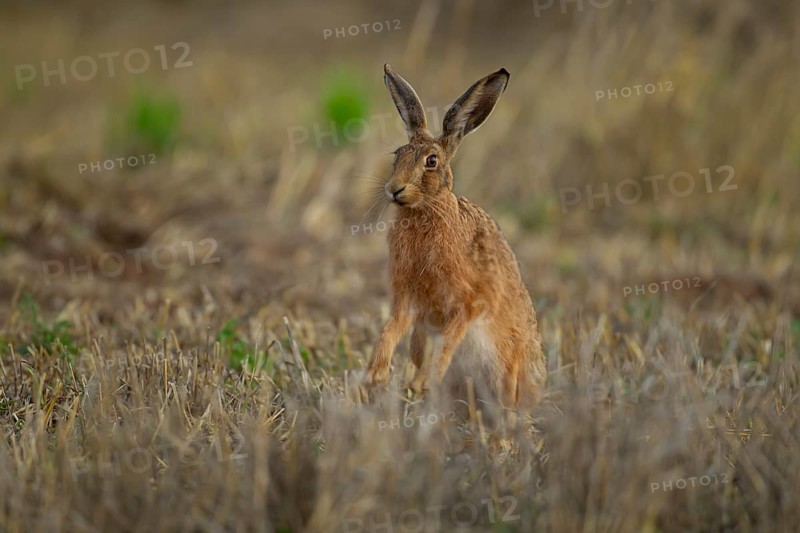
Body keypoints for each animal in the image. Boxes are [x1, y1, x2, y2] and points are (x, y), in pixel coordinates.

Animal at [361, 63, 547, 417]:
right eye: (397, 155)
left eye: (431, 161)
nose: (394, 189)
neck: (426, 209)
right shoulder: (408, 301)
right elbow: (391, 329)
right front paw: (375, 375)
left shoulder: (469, 303)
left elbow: (449, 340)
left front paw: (427, 379)